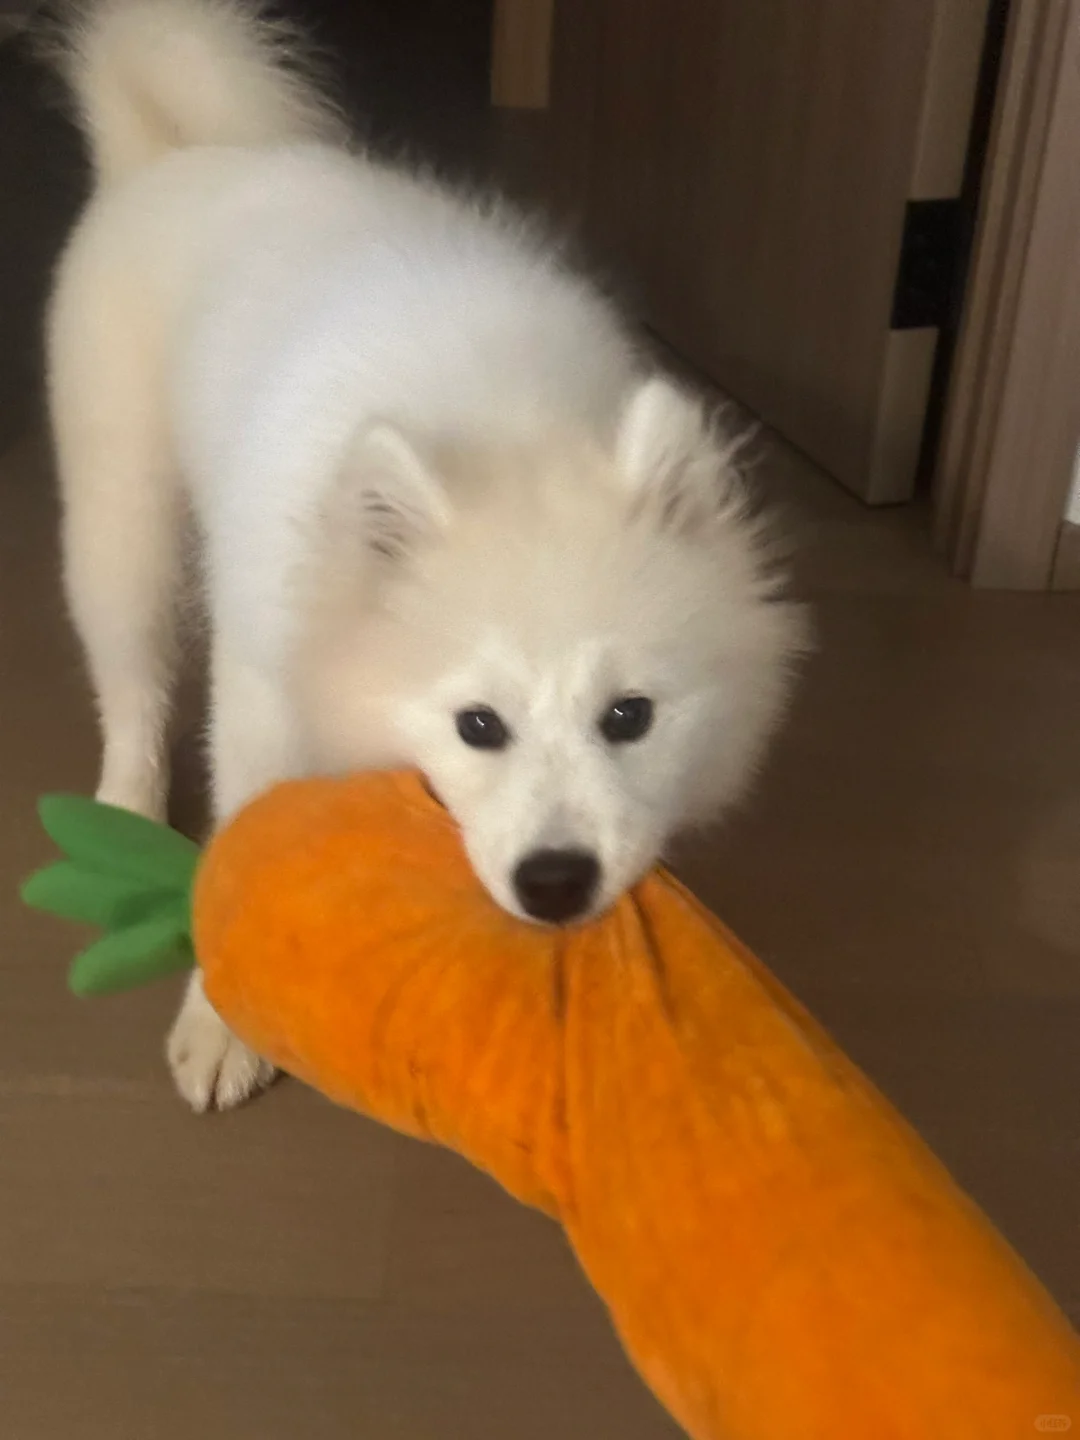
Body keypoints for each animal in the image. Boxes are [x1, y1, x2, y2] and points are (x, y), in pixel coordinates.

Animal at [45, 0, 805, 1112]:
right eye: (477, 725)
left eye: (630, 717)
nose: (556, 882)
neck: (505, 429)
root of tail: (178, 156)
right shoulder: (264, 695)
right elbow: (241, 850)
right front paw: (223, 1024)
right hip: (124, 527)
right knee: (133, 688)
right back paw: (122, 812)